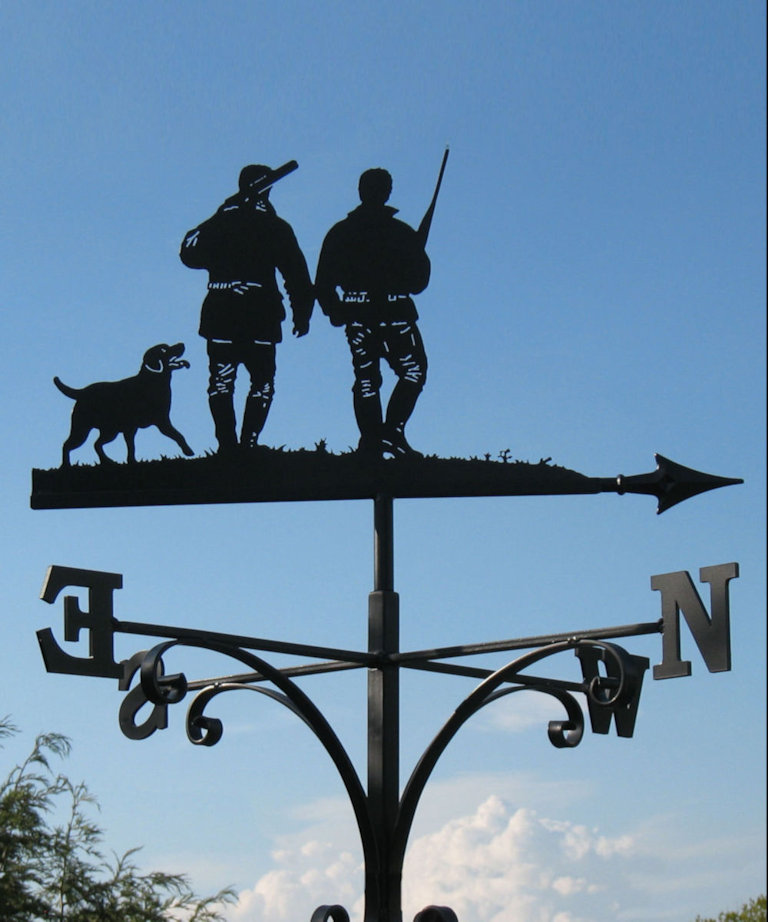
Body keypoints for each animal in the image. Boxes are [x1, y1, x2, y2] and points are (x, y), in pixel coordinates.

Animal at [54, 342, 195, 464]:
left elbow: (132, 447)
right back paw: (66, 466)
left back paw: (107, 461)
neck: (153, 380)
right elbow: (178, 435)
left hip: (109, 430)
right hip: (82, 429)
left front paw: (132, 461)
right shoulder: (160, 422)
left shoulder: (136, 427)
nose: (182, 344)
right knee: (67, 445)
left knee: (96, 444)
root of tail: (82, 392)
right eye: (164, 349)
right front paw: (188, 451)